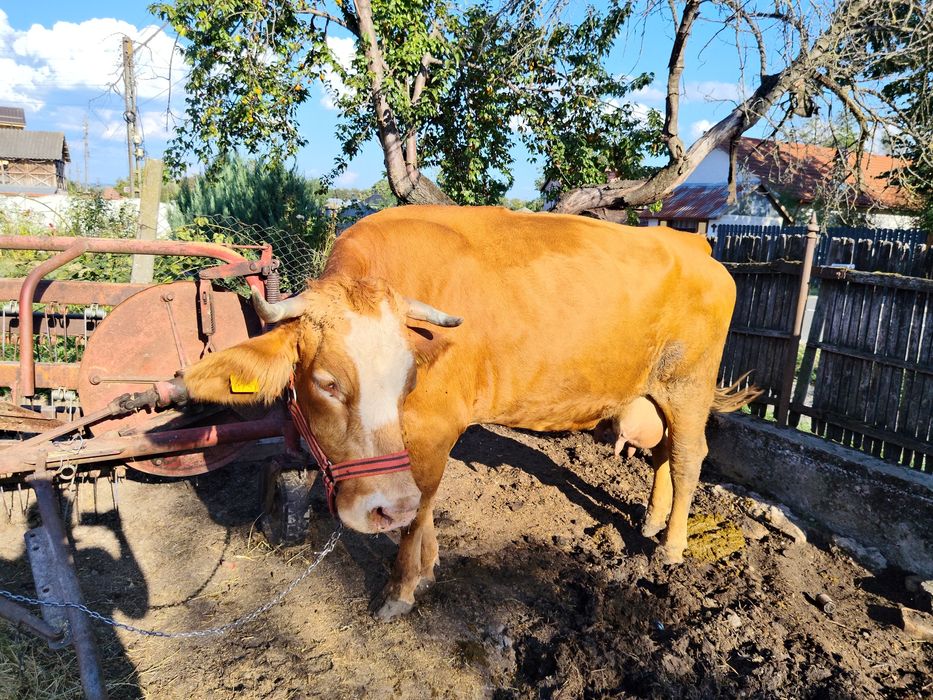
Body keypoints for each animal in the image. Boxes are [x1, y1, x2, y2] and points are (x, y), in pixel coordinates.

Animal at [182, 205, 756, 619]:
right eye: (326, 382)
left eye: (408, 379)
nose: (377, 511)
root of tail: (692, 242)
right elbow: (424, 502)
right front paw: (428, 566)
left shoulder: (435, 426)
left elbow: (419, 505)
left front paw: (401, 587)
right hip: (655, 389)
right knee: (663, 454)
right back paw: (654, 519)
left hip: (690, 384)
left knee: (688, 458)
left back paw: (671, 546)